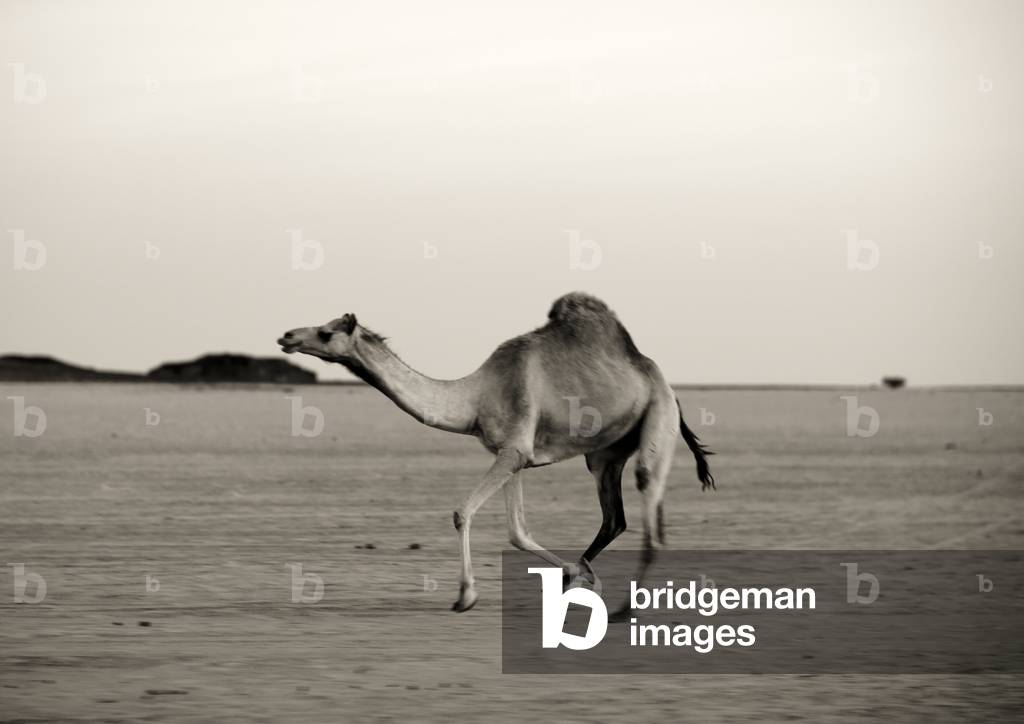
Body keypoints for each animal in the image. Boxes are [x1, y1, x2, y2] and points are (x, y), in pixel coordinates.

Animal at [277, 292, 714, 613]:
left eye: (325, 332)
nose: (286, 336)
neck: (475, 395)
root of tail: (667, 386)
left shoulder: (514, 450)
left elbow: (462, 512)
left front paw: (466, 596)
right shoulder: (512, 454)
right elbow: (518, 532)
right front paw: (577, 576)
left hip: (658, 418)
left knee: (647, 496)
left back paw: (627, 608)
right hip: (605, 453)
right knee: (615, 518)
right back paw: (589, 576)